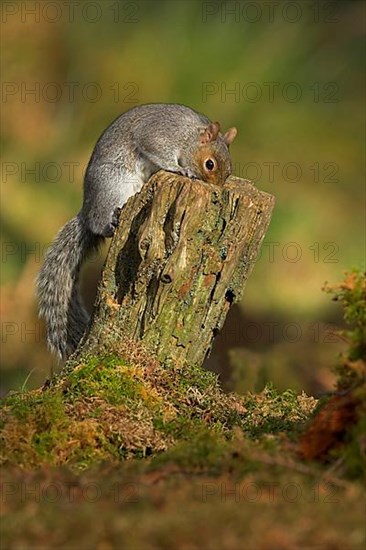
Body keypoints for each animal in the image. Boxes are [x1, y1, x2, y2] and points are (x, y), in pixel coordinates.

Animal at [37, 103, 237, 362]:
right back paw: (110, 221)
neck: (190, 135)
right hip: (113, 187)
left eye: (229, 171)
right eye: (209, 164)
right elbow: (156, 150)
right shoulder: (158, 136)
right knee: (100, 223)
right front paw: (181, 170)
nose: (217, 190)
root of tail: (87, 211)